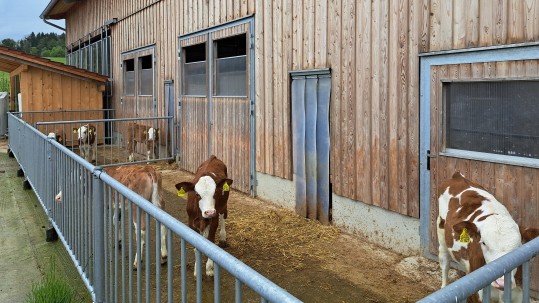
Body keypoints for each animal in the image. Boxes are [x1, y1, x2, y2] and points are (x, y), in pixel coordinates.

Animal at [436, 172, 536, 302]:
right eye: (483, 243)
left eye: (519, 246)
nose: (501, 282)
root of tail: (458, 177)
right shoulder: (477, 294)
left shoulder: (518, 294)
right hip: (441, 234)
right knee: (445, 263)